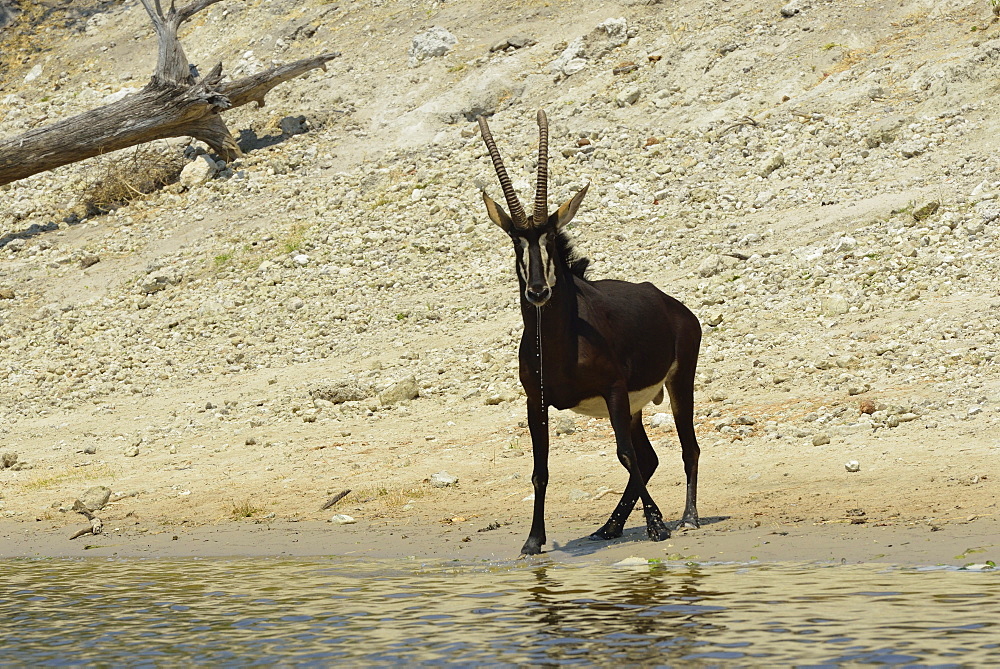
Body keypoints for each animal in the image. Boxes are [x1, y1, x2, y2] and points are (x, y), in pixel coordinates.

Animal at [478, 112, 704, 556]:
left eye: (549, 237)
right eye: (516, 241)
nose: (538, 291)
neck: (559, 345)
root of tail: (674, 306)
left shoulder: (613, 389)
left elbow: (624, 456)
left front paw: (658, 527)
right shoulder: (535, 402)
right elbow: (540, 470)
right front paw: (533, 541)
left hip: (677, 382)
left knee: (685, 447)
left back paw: (686, 519)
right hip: (635, 407)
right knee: (649, 457)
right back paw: (608, 527)